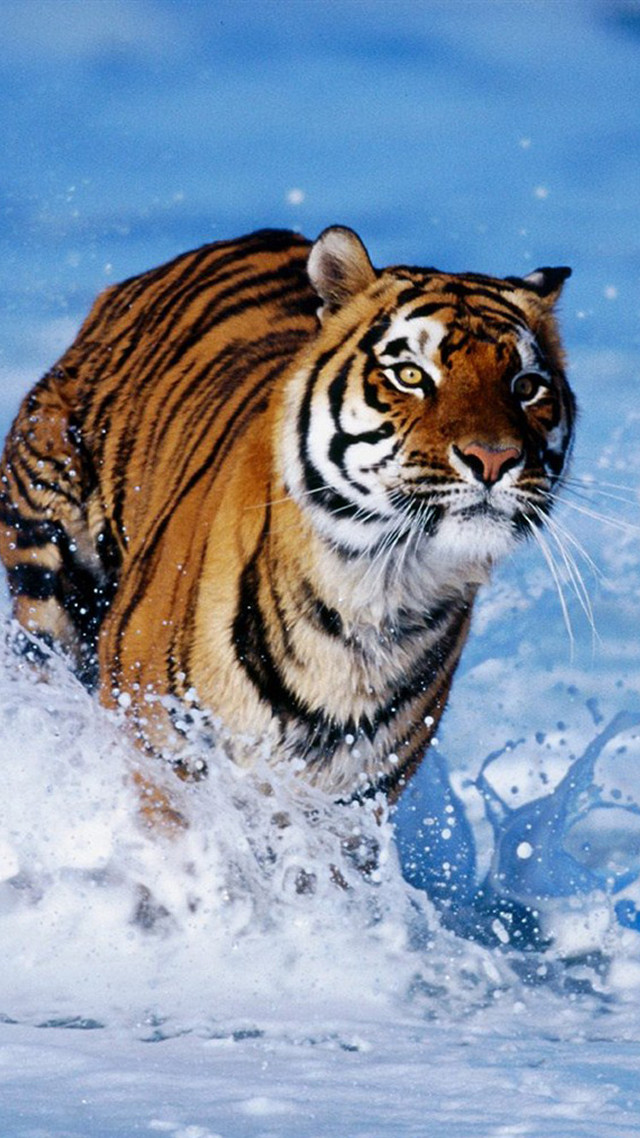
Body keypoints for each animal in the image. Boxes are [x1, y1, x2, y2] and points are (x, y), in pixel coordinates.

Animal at [0, 226, 575, 807]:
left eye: (526, 386)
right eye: (411, 375)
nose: (494, 458)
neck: (377, 595)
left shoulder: (355, 799)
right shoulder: (161, 752)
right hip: (48, 576)